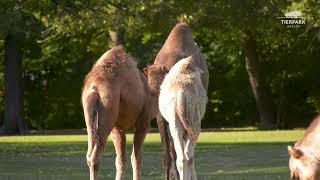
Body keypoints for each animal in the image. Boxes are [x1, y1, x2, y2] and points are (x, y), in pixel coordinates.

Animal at [81, 46, 166, 180]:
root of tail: (95, 88)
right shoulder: (143, 124)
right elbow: (136, 158)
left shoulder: (118, 129)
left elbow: (121, 161)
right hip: (108, 108)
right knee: (95, 157)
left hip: (89, 115)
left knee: (89, 154)